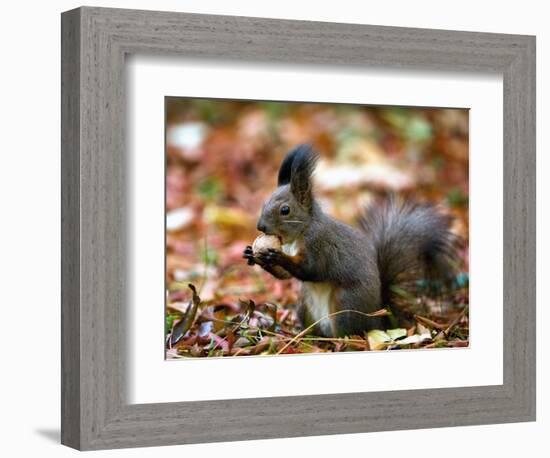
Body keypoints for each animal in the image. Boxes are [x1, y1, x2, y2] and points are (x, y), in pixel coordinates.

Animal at [244, 145, 464, 338]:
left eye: (285, 210)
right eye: (264, 203)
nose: (260, 227)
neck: (300, 233)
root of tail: (379, 318)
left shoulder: (319, 244)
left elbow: (310, 269)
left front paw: (276, 256)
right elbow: (285, 276)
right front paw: (251, 255)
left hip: (345, 304)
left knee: (347, 332)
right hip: (305, 304)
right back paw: (305, 334)